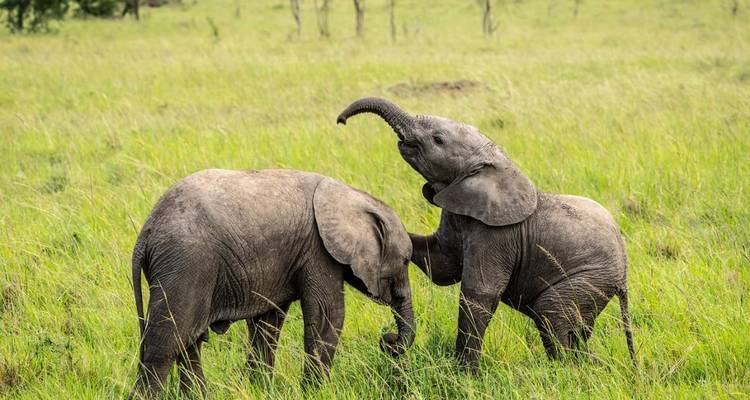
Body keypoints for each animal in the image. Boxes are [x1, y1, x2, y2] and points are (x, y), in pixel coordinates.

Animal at [130, 169, 414, 397]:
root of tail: (147, 231)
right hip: (187, 264)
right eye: (406, 260)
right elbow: (328, 317)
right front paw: (313, 393)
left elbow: (267, 325)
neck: (351, 195)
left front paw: (259, 389)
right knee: (165, 345)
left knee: (189, 344)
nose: (388, 340)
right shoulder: (318, 252)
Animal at [337, 97, 635, 372]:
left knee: (551, 316)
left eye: (437, 139)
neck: (491, 162)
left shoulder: (497, 235)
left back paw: (565, 370)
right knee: (576, 329)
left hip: (588, 279)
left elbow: (477, 292)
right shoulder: (458, 210)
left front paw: (464, 375)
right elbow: (441, 265)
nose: (341, 121)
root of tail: (623, 276)